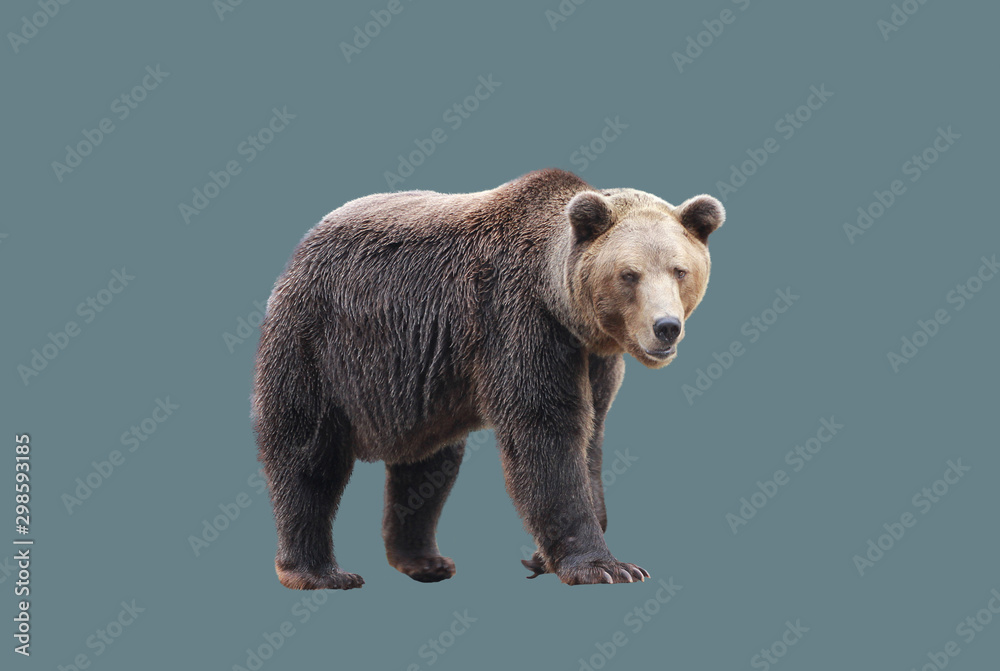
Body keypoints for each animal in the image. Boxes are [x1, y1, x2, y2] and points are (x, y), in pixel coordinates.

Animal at [253, 168, 725, 589]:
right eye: (630, 273)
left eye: (679, 270)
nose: (666, 327)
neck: (565, 308)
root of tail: (307, 241)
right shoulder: (518, 319)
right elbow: (545, 431)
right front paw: (607, 567)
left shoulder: (593, 359)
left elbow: (590, 438)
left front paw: (544, 557)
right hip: (321, 343)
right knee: (306, 452)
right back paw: (318, 572)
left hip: (423, 384)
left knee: (429, 466)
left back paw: (424, 561)